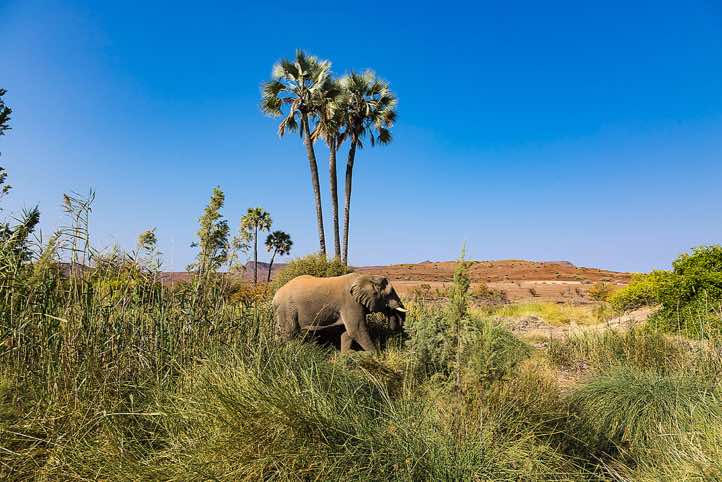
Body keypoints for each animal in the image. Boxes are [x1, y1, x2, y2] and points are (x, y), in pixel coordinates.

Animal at [272, 273, 407, 353]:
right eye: (389, 294)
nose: (395, 327)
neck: (367, 277)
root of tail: (275, 295)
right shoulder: (350, 302)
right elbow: (356, 330)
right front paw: (376, 356)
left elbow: (346, 332)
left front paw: (345, 356)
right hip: (286, 309)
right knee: (289, 333)